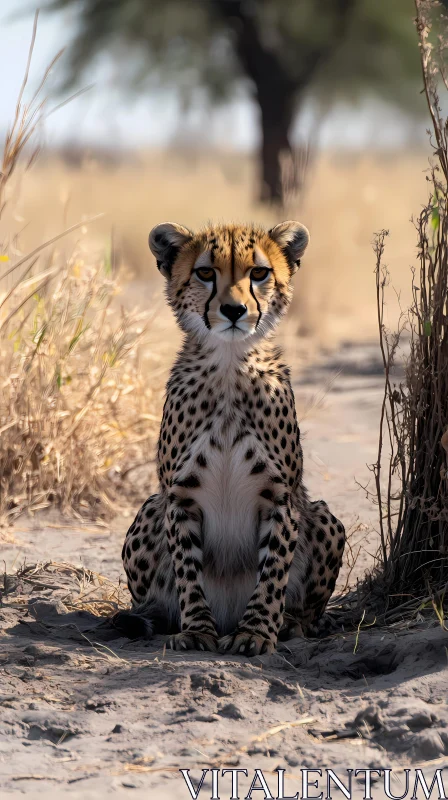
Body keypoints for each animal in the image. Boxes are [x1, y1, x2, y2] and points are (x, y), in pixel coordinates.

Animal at [114, 220, 344, 656]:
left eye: (259, 273)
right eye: (205, 272)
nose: (234, 310)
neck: (229, 364)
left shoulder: (280, 497)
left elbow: (273, 573)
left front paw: (255, 632)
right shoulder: (179, 496)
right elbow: (188, 571)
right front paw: (197, 630)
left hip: (322, 515)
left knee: (309, 608)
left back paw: (291, 623)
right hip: (151, 507)